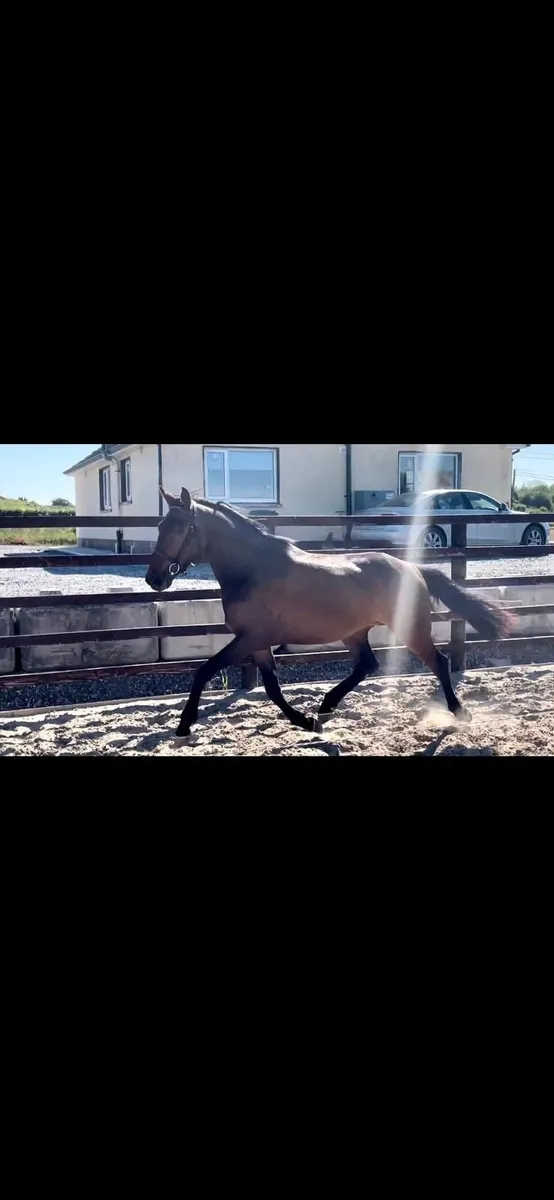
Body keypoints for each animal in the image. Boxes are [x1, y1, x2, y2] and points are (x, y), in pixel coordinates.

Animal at [146, 487, 514, 739]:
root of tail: (412, 568)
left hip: (410, 628)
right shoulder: (258, 643)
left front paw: (184, 724)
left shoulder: (251, 638)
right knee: (368, 664)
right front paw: (307, 721)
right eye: (160, 526)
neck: (252, 569)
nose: (154, 579)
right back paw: (326, 706)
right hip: (354, 633)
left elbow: (204, 671)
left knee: (438, 662)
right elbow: (272, 688)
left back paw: (459, 711)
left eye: (179, 528)